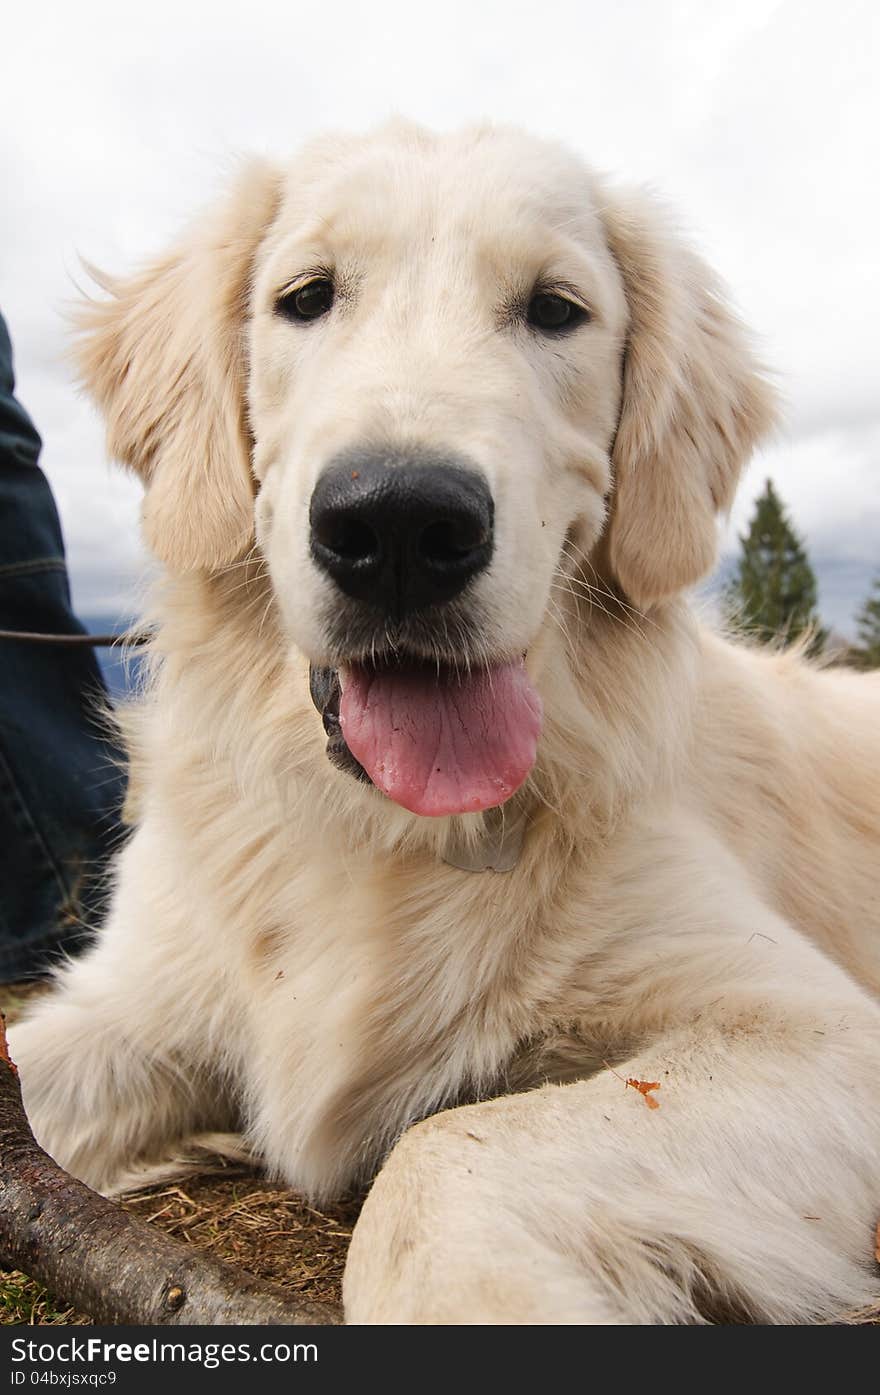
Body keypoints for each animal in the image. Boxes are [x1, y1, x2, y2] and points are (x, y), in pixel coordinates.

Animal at [8, 117, 880, 1316]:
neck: (382, 831)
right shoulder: (130, 1002)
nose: (401, 526)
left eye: (555, 308)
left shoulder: (816, 1028)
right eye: (307, 297)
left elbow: (442, 1152)